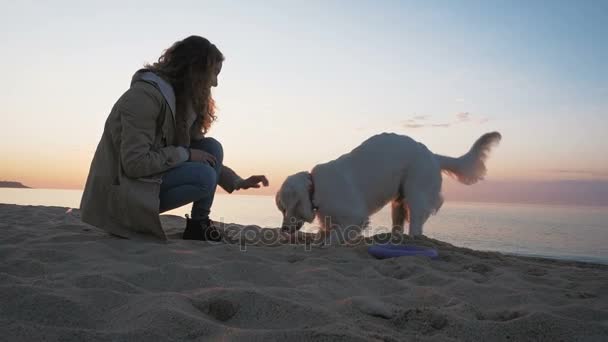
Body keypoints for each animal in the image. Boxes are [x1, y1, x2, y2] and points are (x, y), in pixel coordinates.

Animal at [274, 131, 498, 240]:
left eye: (287, 208)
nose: (283, 229)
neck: (315, 187)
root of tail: (433, 155)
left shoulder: (356, 217)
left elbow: (334, 237)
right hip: (398, 201)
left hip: (416, 190)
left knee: (416, 223)